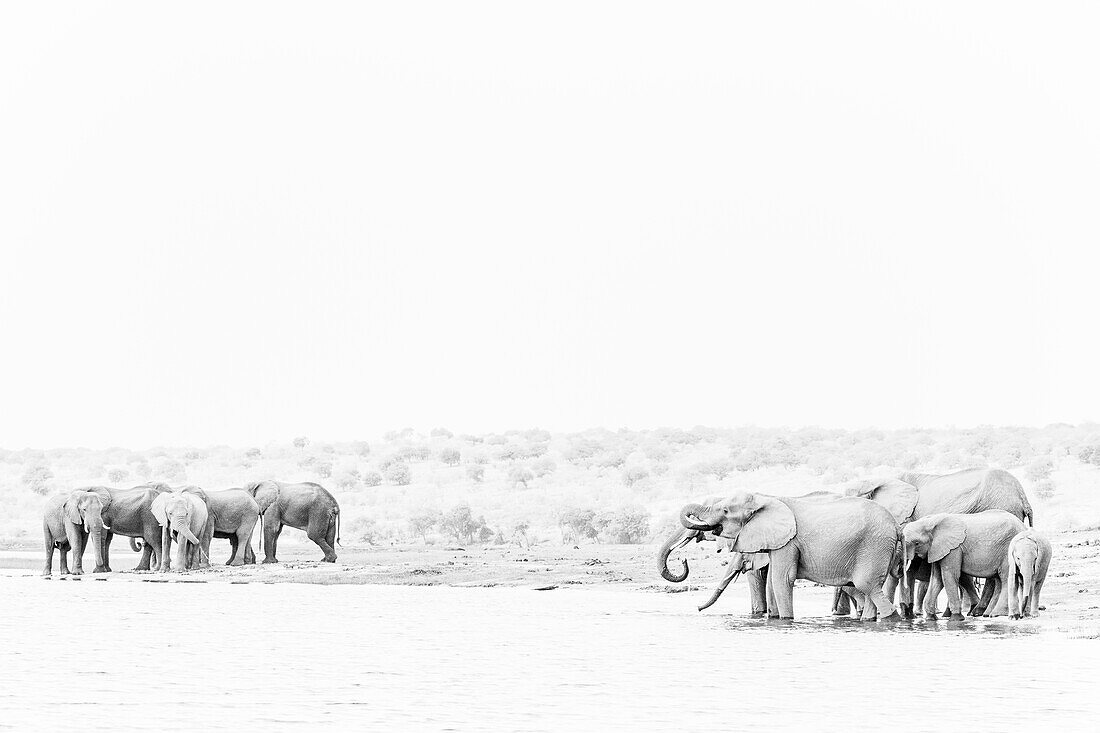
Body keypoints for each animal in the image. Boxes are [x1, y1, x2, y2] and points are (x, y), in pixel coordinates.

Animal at [673, 490, 897, 616]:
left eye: (726, 511)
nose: (697, 609)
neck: (765, 499)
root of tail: (895, 525)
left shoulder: (789, 542)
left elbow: (782, 579)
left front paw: (786, 620)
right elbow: (773, 581)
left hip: (873, 547)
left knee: (868, 586)